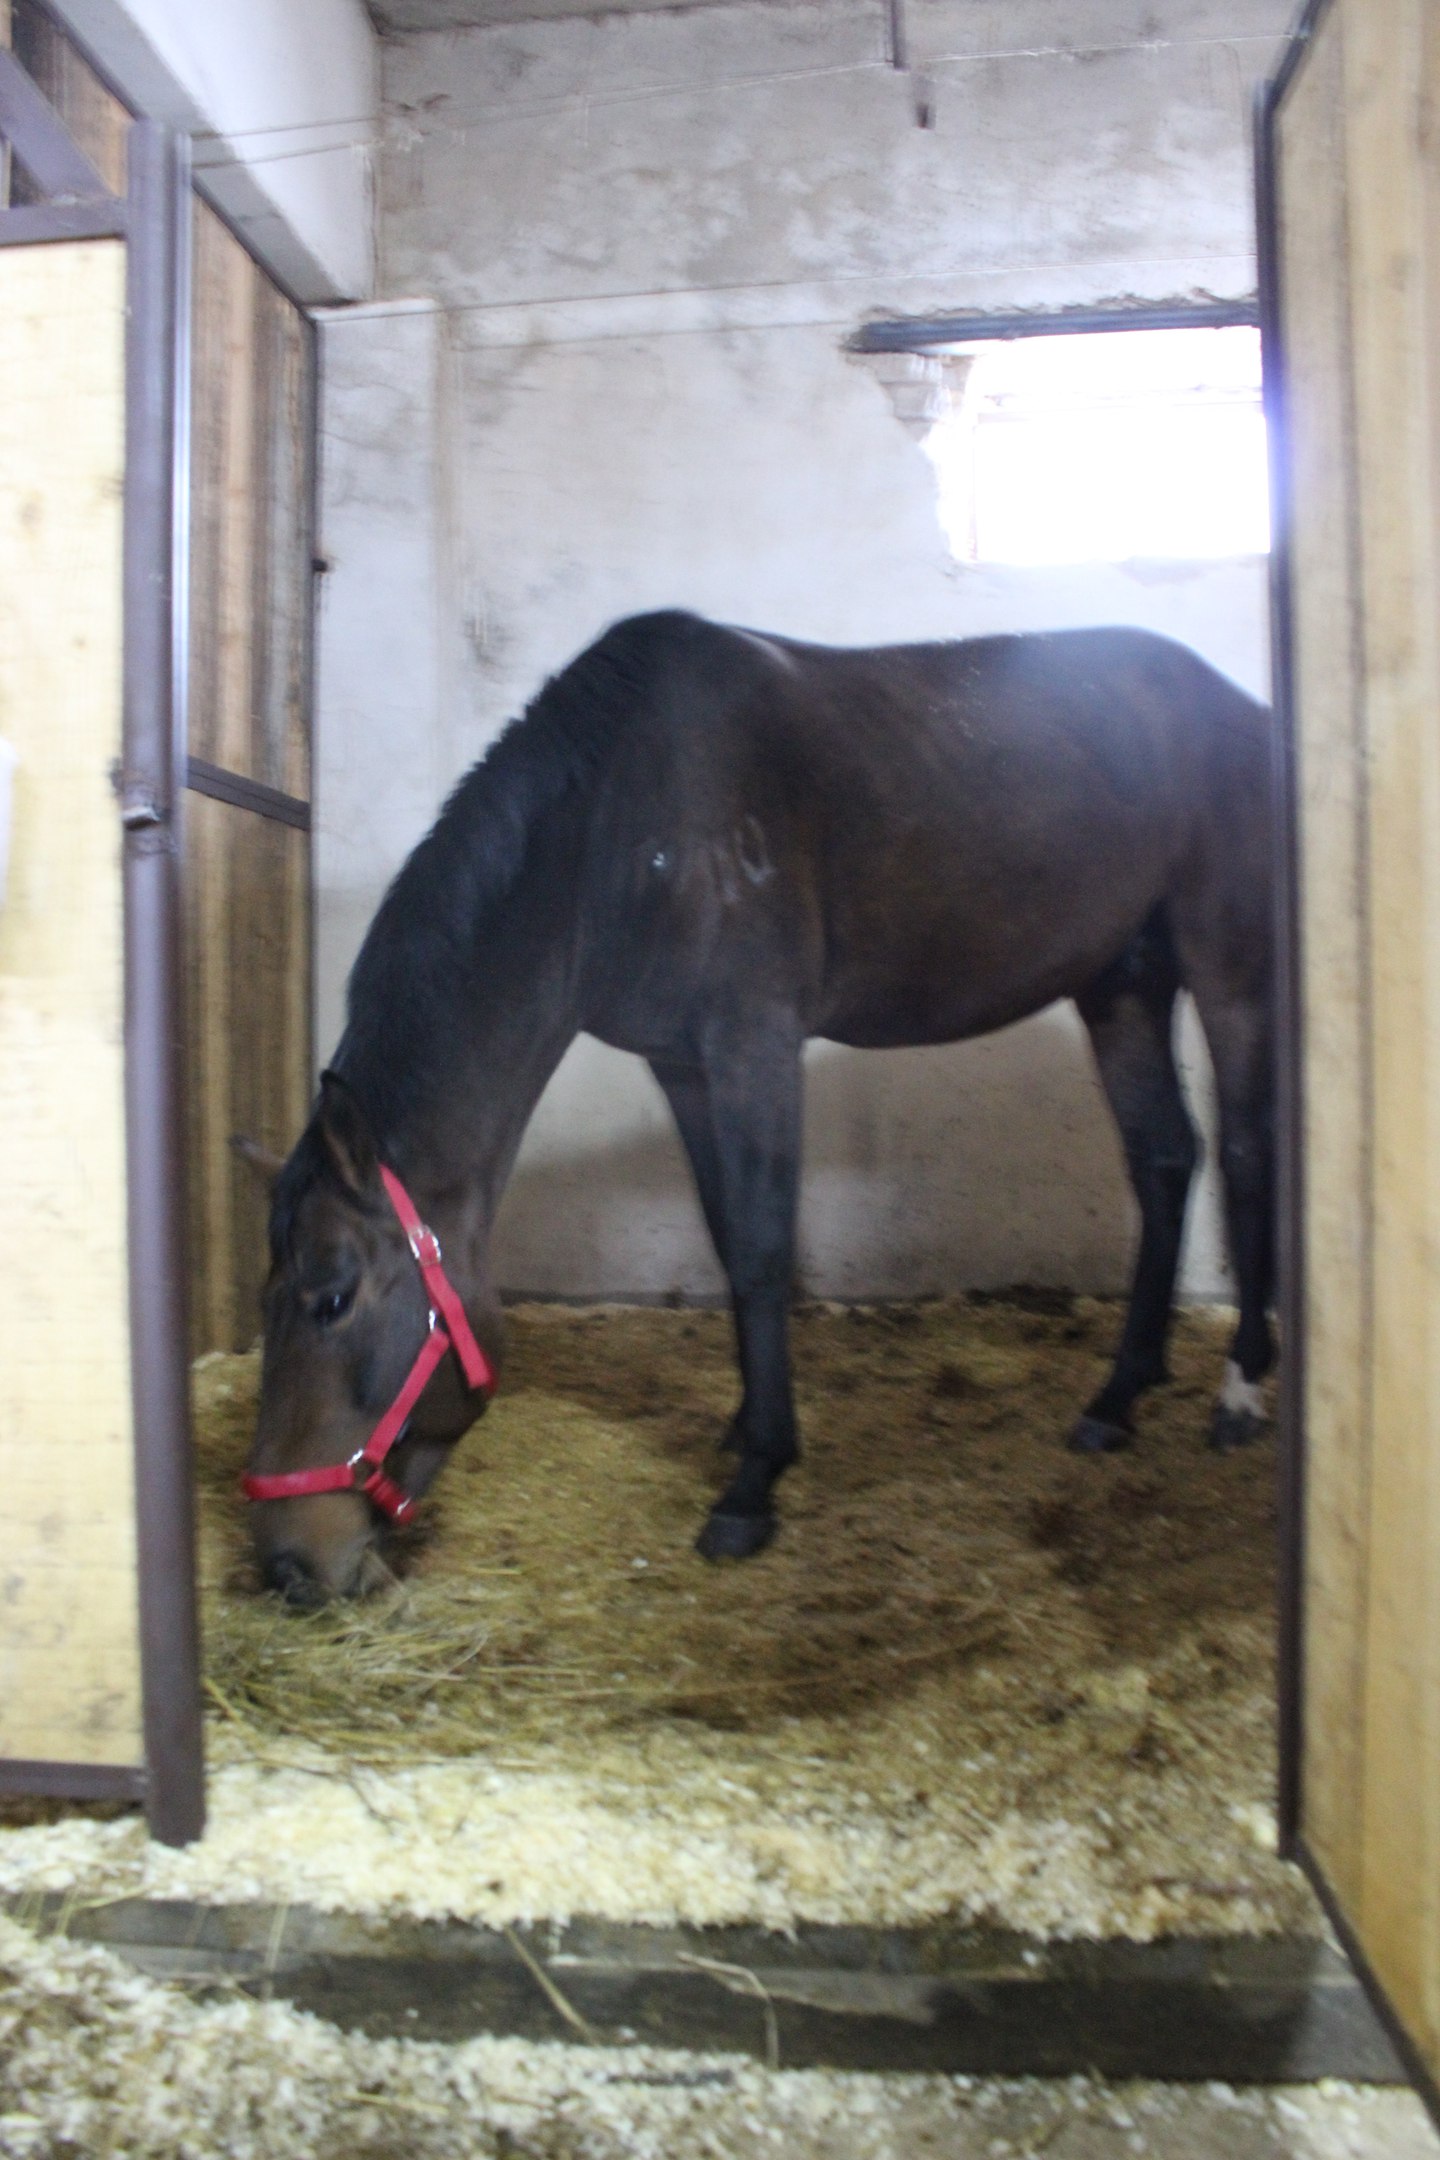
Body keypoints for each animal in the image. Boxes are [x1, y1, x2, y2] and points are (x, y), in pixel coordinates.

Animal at [244, 610, 1274, 1605]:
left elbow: (768, 1250)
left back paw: (1242, 1393)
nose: (290, 1565)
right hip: (1122, 983)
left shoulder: (754, 1048)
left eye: (331, 1296)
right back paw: (1117, 1399)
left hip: (1228, 972)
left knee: (1246, 1161)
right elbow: (728, 1239)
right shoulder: (685, 1066)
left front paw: (755, 1486)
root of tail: (1246, 710)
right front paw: (746, 1428)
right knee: (1164, 1161)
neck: (615, 833)